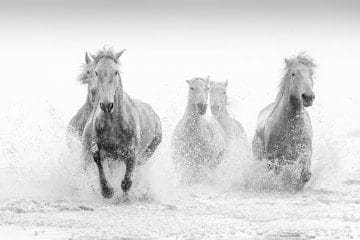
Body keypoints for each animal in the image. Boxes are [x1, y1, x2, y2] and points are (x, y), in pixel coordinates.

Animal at [83, 47, 162, 198]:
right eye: (96, 72)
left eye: (116, 71)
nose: (106, 105)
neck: (114, 124)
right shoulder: (100, 146)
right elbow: (97, 157)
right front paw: (107, 191)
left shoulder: (131, 151)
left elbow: (127, 178)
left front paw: (124, 193)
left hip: (150, 149)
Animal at [252, 53, 316, 188]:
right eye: (293, 74)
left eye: (311, 73)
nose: (308, 97)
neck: (291, 127)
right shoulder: (273, 158)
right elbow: (277, 174)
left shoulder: (305, 151)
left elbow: (305, 175)